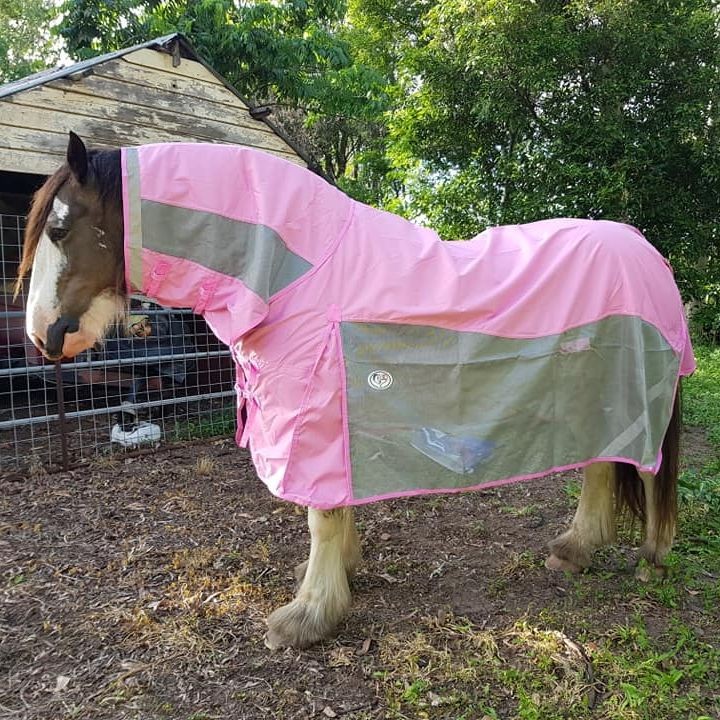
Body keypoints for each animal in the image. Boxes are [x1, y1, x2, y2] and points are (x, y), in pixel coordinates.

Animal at [17, 132, 695, 650]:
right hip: (592, 394)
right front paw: (339, 577)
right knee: (603, 465)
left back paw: (651, 560)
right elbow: (333, 512)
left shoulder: (316, 416)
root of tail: (648, 253)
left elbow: (321, 516)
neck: (298, 271)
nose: (41, 337)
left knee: (648, 471)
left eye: (60, 229)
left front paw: (307, 616)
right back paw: (576, 549)